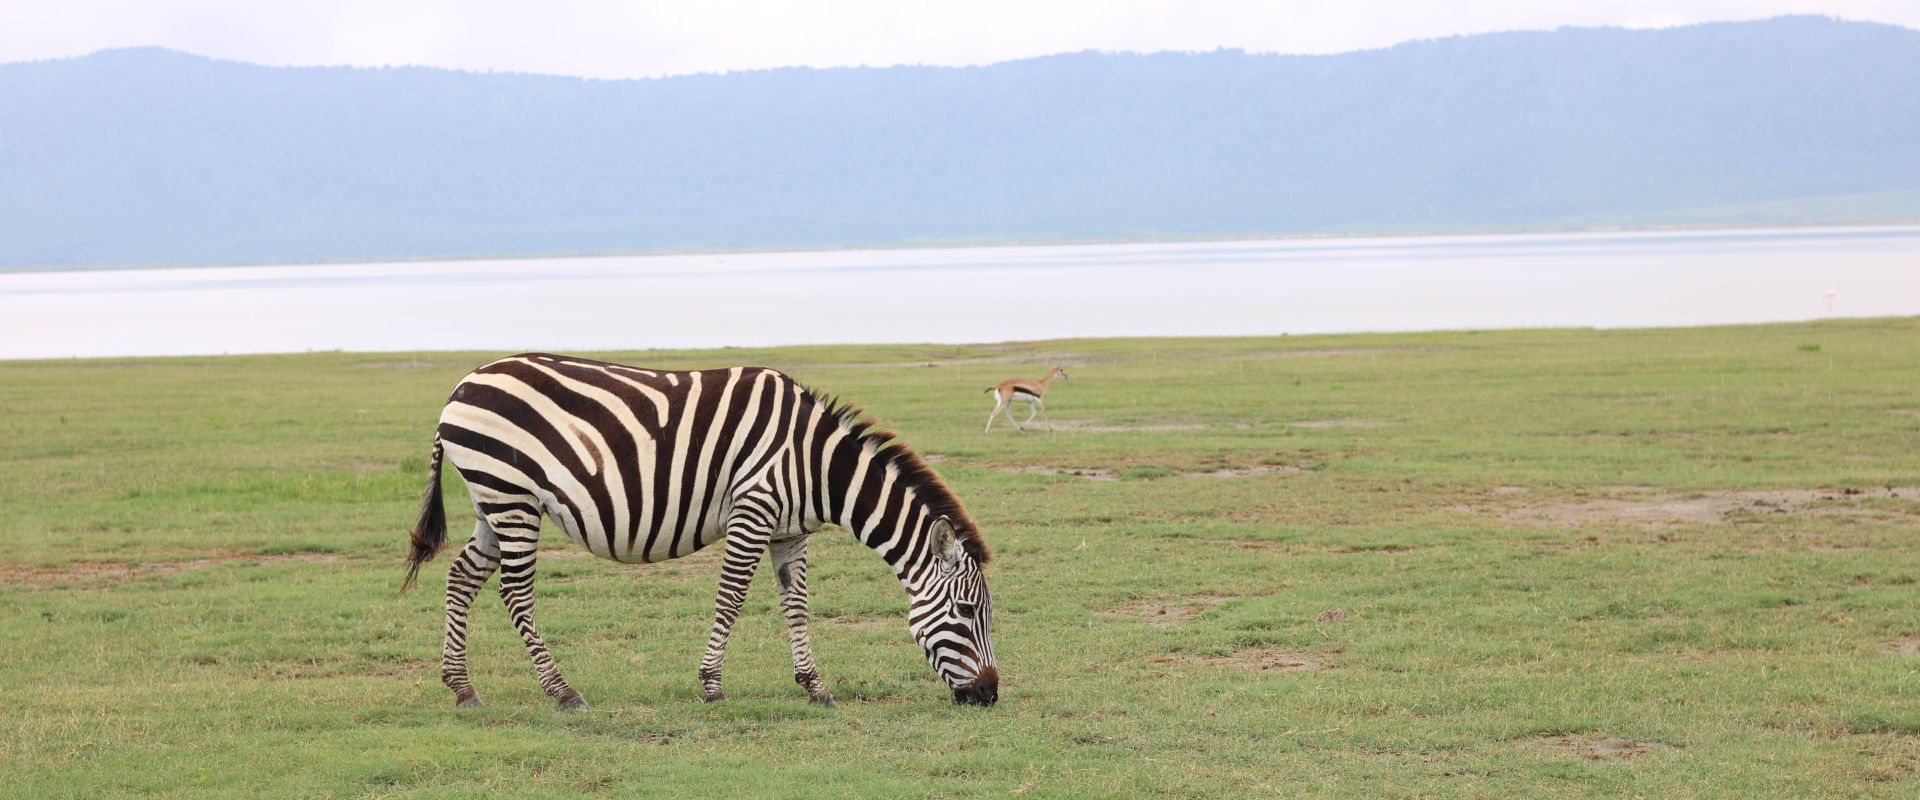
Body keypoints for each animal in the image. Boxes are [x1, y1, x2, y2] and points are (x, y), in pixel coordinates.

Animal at [405, 352, 1006, 705]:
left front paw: (814, 685)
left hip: (493, 501)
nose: (989, 695)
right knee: (515, 592)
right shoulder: (753, 510)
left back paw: (461, 686)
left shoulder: (789, 531)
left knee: (462, 577)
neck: (814, 464)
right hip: (511, 497)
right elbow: (732, 597)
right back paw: (561, 690)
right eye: (968, 611)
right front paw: (712, 684)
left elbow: (796, 605)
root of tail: (461, 386)